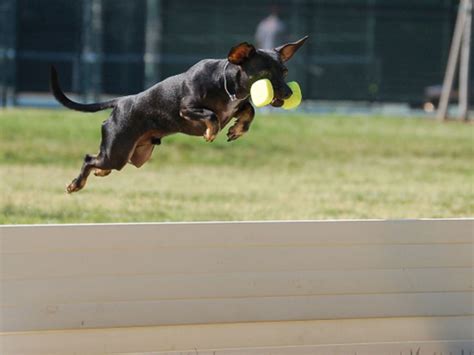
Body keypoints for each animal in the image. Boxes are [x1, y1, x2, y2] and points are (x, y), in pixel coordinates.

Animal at [51, 35, 308, 192]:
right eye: (265, 74)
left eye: (284, 71)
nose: (288, 93)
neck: (226, 85)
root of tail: (121, 102)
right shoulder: (187, 109)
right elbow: (212, 116)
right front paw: (211, 133)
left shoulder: (238, 104)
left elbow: (249, 110)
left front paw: (237, 129)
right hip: (117, 149)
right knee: (89, 159)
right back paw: (76, 184)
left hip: (129, 155)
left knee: (99, 161)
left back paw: (100, 172)